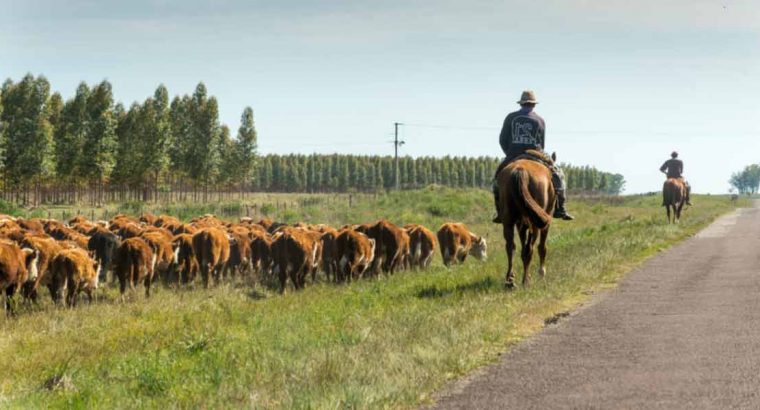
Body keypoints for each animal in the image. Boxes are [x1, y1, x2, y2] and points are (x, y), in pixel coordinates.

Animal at [496, 157, 556, 288]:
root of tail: (520, 170)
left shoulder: (520, 225)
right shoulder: (545, 223)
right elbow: (542, 247)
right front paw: (541, 272)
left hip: (508, 220)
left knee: (510, 247)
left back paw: (510, 280)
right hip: (536, 225)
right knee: (530, 249)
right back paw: (526, 281)